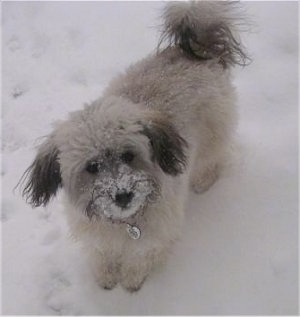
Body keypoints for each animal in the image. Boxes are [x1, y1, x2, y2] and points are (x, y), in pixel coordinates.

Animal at [21, 1, 250, 292]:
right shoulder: (96, 236)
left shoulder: (155, 236)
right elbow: (102, 254)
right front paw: (105, 277)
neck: (125, 223)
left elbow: (139, 259)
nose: (123, 196)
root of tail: (196, 50)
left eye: (129, 155)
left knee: (212, 159)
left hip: (212, 132)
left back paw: (204, 180)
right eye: (92, 166)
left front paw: (131, 282)